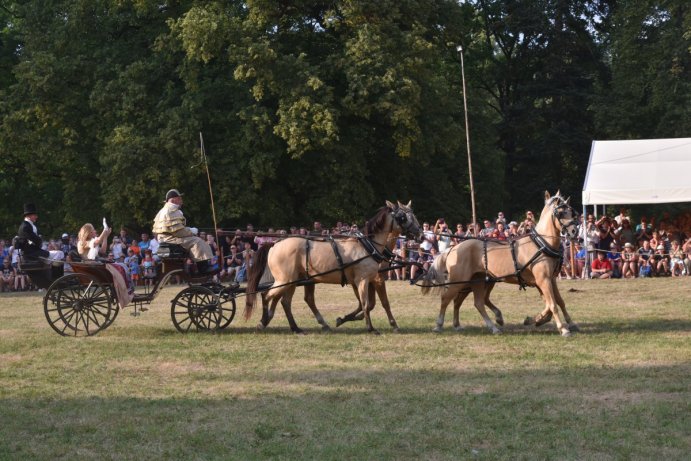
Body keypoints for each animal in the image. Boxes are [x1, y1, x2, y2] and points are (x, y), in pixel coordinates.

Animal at [246, 199, 424, 332]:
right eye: (403, 217)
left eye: (413, 215)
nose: (421, 235)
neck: (367, 245)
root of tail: (274, 244)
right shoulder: (366, 280)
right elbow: (370, 303)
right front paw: (377, 327)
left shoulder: (363, 281)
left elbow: (367, 304)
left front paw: (345, 319)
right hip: (285, 280)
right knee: (268, 295)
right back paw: (264, 321)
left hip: (293, 281)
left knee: (285, 301)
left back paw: (296, 327)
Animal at [422, 190, 580, 334]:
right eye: (561, 213)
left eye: (571, 212)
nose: (574, 232)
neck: (541, 243)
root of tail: (453, 248)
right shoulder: (543, 280)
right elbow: (552, 304)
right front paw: (562, 328)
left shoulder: (549, 279)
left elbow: (558, 302)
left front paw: (543, 320)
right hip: (460, 281)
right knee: (447, 298)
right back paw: (439, 325)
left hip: (477, 280)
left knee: (476, 302)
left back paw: (490, 325)